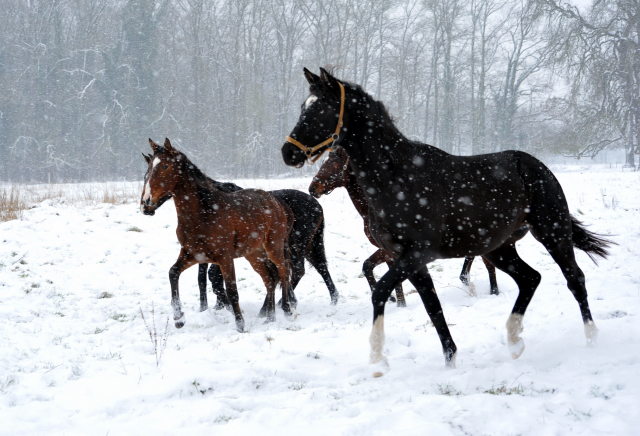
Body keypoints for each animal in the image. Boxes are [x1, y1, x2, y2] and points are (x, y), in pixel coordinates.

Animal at [312, 146, 524, 300]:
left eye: (332, 163)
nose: (313, 187)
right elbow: (371, 268)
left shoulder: (393, 251)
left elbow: (371, 269)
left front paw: (396, 301)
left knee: (489, 266)